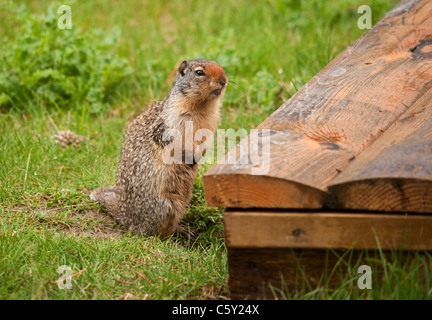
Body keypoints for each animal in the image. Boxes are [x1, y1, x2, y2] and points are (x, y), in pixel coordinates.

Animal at [89, 58, 228, 236]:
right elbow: (178, 142)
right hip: (165, 207)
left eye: (220, 67)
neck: (203, 107)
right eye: (199, 72)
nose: (224, 80)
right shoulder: (172, 123)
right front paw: (192, 156)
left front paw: (200, 155)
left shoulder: (210, 124)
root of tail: (126, 216)